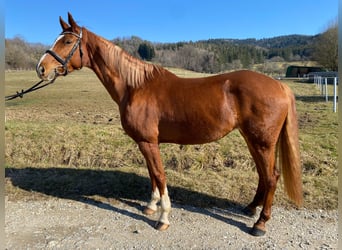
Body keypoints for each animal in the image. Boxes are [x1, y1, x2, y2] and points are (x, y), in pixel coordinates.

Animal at [35, 13, 302, 236]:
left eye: (68, 41)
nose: (41, 68)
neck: (136, 86)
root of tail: (280, 85)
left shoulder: (148, 142)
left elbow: (160, 175)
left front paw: (163, 218)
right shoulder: (146, 143)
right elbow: (152, 175)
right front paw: (151, 207)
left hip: (262, 142)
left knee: (272, 177)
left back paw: (260, 224)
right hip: (252, 139)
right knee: (263, 175)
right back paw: (250, 208)